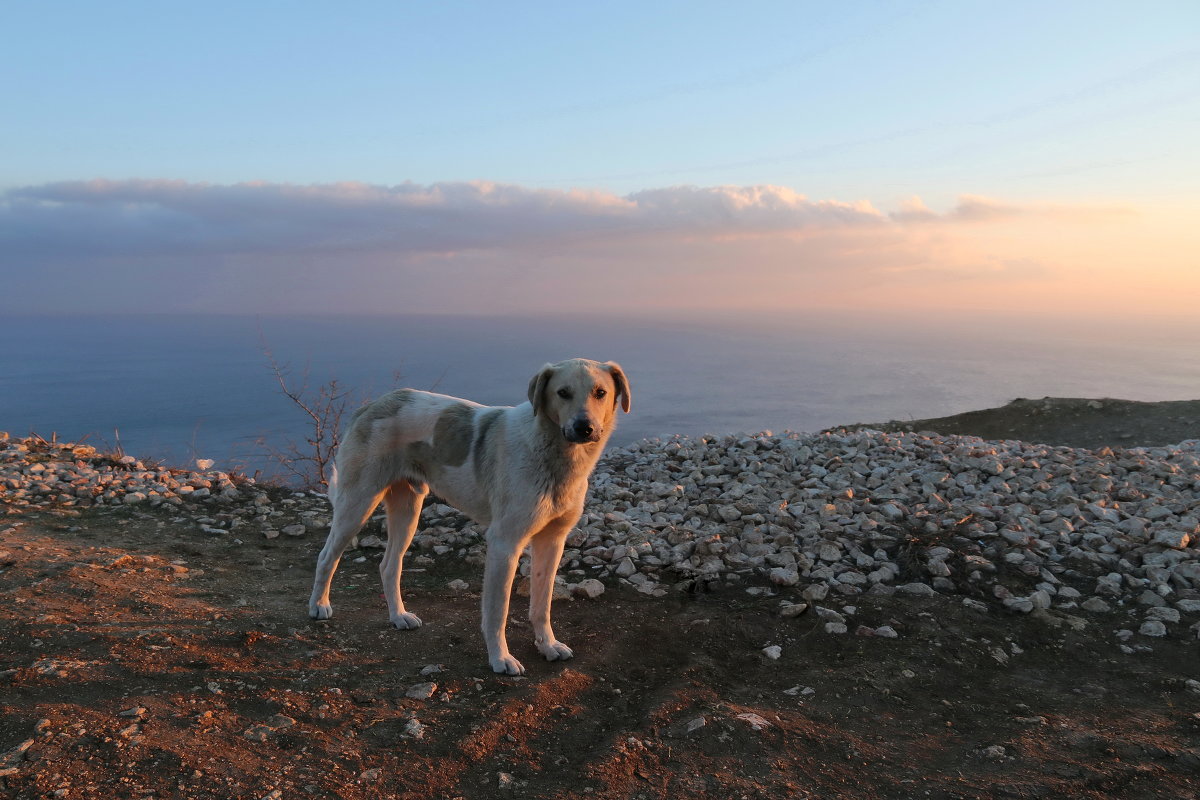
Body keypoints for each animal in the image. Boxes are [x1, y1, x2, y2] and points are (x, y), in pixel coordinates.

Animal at [307, 357, 628, 676]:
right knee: (326, 557)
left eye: (600, 393)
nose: (584, 427)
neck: (553, 454)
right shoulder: (504, 544)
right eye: (563, 393)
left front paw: (547, 645)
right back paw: (318, 606)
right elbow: (498, 611)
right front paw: (500, 659)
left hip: (408, 509)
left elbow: (542, 604)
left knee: (389, 565)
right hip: (358, 504)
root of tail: (373, 404)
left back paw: (398, 616)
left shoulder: (552, 541)